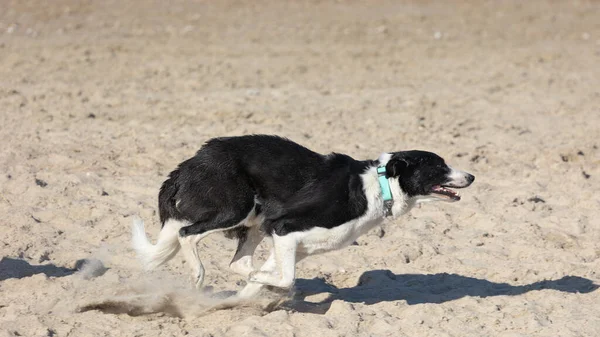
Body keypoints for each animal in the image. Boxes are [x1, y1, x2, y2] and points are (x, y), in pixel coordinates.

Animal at [131, 134, 474, 296]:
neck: (378, 185)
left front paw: (253, 290)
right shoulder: (284, 227)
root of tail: (190, 162)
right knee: (186, 234)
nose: (471, 176)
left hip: (256, 223)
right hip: (236, 208)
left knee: (237, 261)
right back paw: (199, 276)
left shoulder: (293, 241)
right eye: (439, 166)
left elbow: (271, 277)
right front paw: (264, 284)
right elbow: (286, 278)